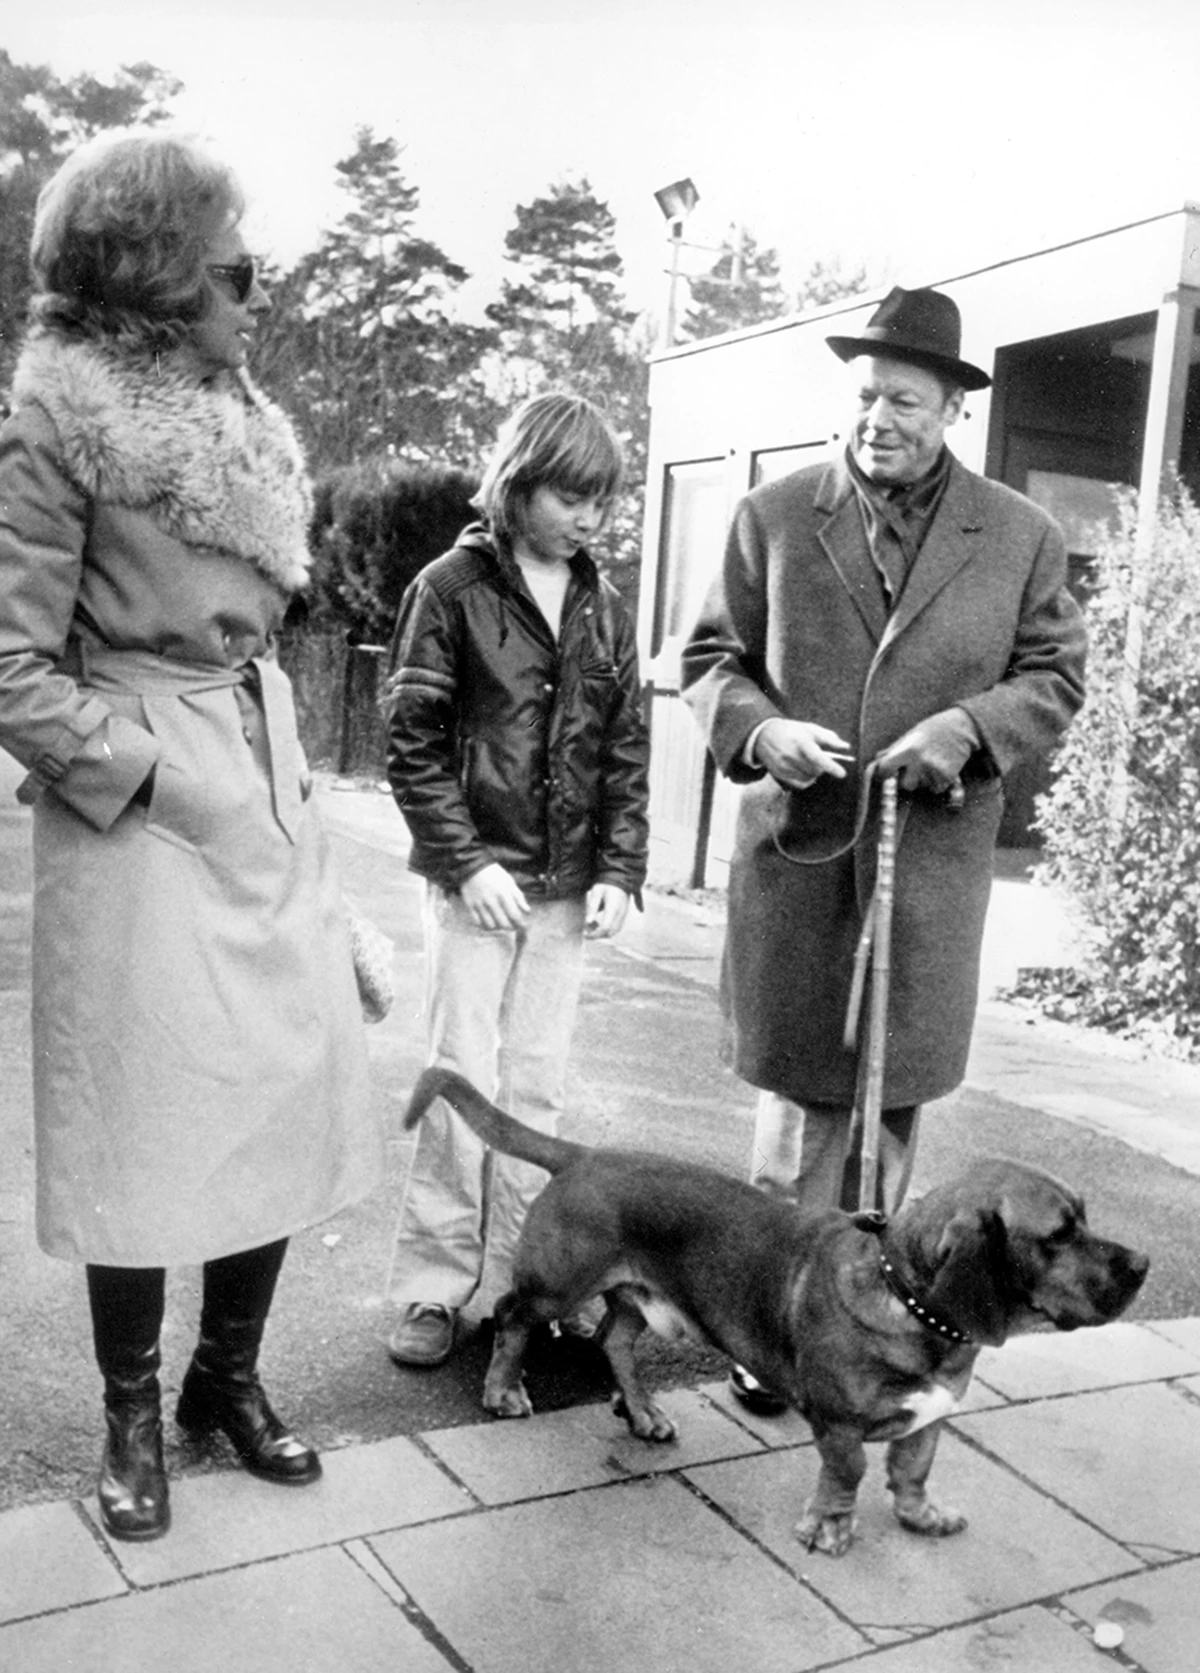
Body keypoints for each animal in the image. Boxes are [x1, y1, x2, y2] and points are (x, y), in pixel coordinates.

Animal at [406, 1070, 1144, 1552]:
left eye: (1085, 1218)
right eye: (1058, 1235)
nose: (1142, 1265)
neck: (912, 1302)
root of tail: (586, 1156)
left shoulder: (930, 1417)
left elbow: (912, 1470)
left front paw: (922, 1516)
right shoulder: (839, 1424)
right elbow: (848, 1473)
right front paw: (831, 1526)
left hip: (640, 1300)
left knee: (615, 1341)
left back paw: (643, 1413)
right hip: (558, 1284)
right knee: (513, 1316)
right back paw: (504, 1389)